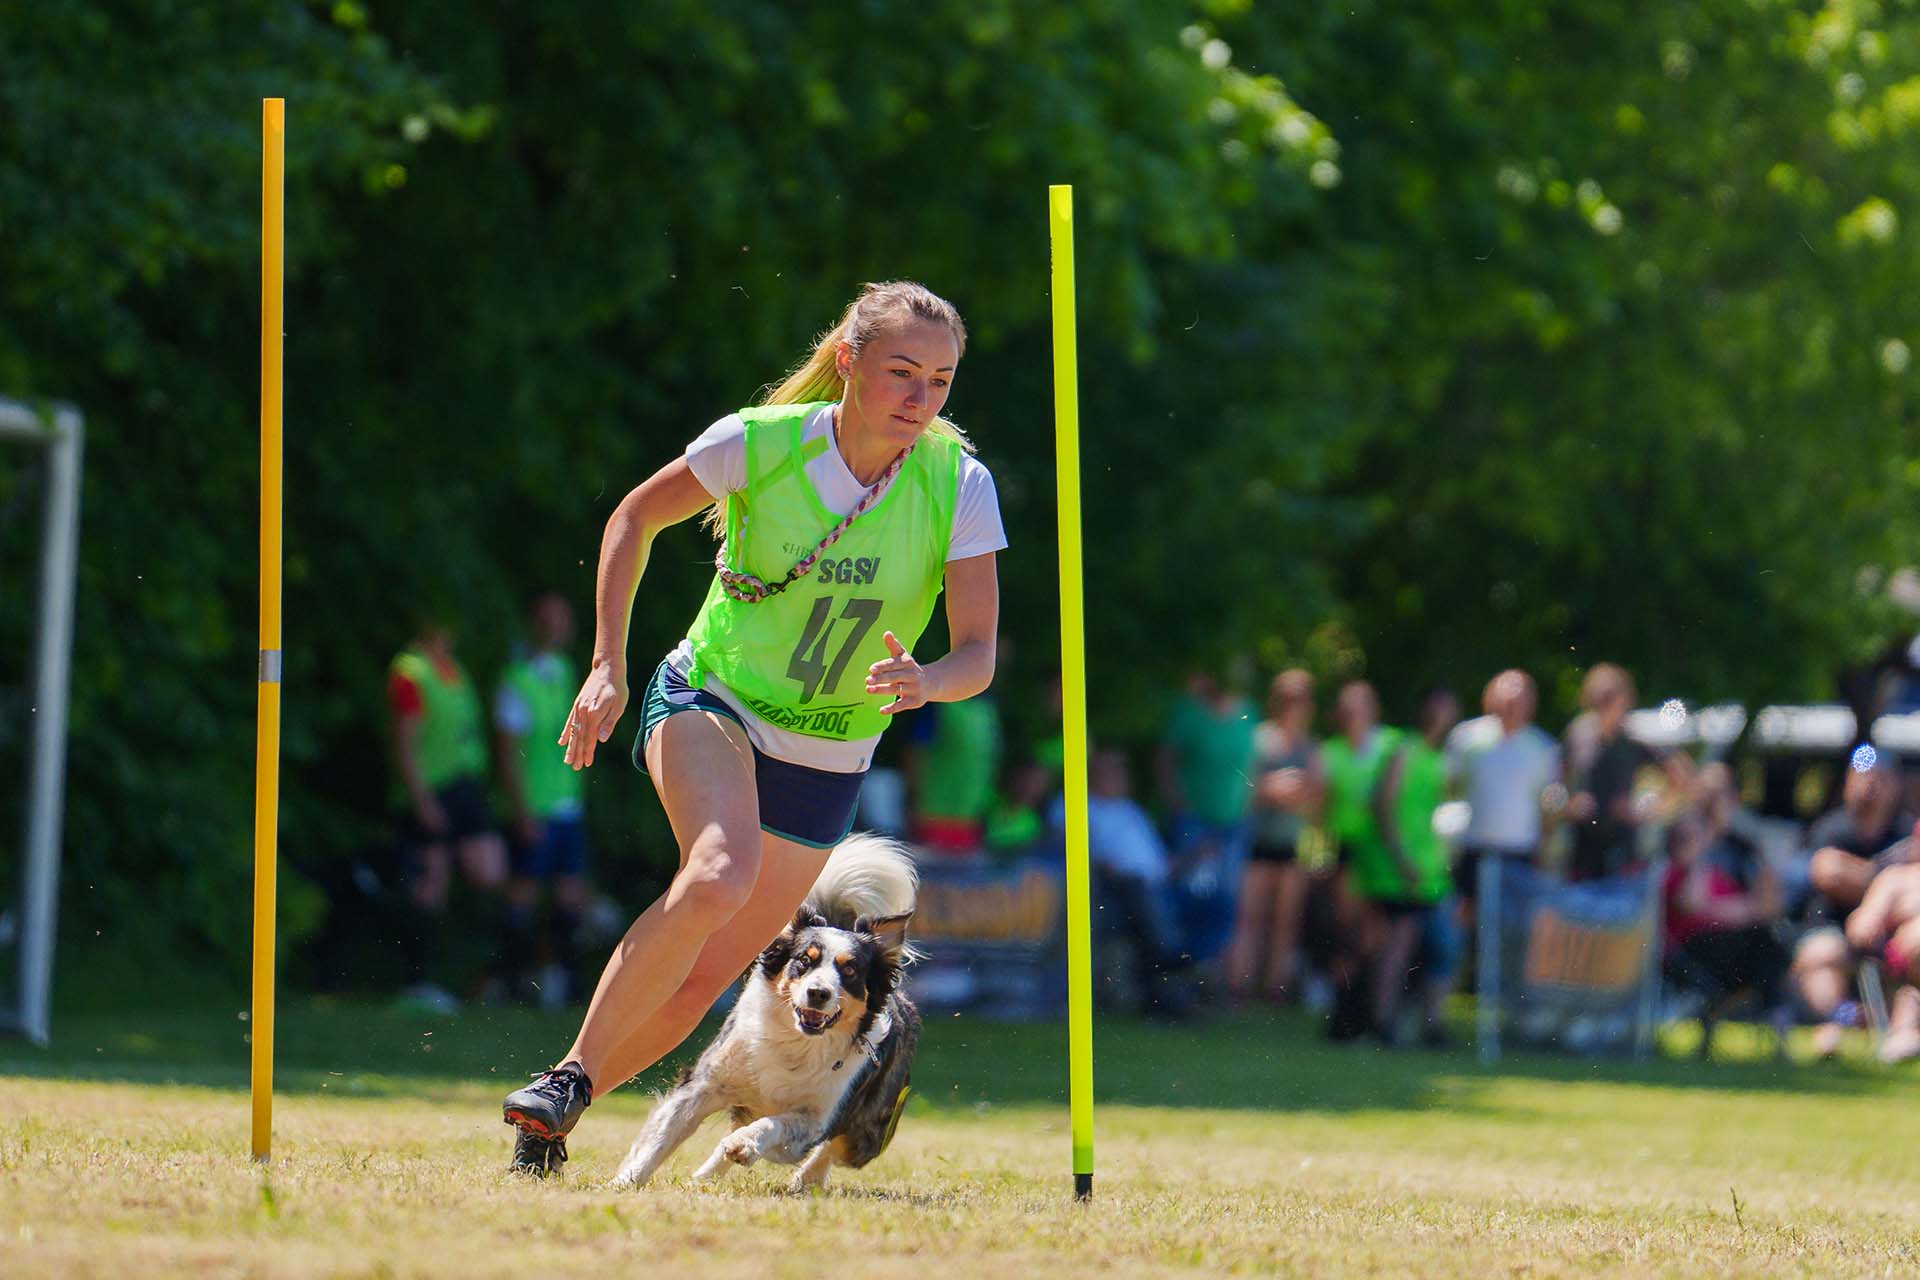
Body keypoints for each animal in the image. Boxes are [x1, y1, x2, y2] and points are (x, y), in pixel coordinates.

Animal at [610, 832, 922, 1193]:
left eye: (851, 971)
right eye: (804, 960)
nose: (818, 993)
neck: (796, 1045)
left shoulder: (815, 1120)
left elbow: (776, 1125)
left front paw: (747, 1145)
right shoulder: (704, 1084)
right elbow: (662, 1137)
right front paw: (624, 1182)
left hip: (868, 1131)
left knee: (834, 1149)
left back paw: (804, 1179)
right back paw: (705, 1177)